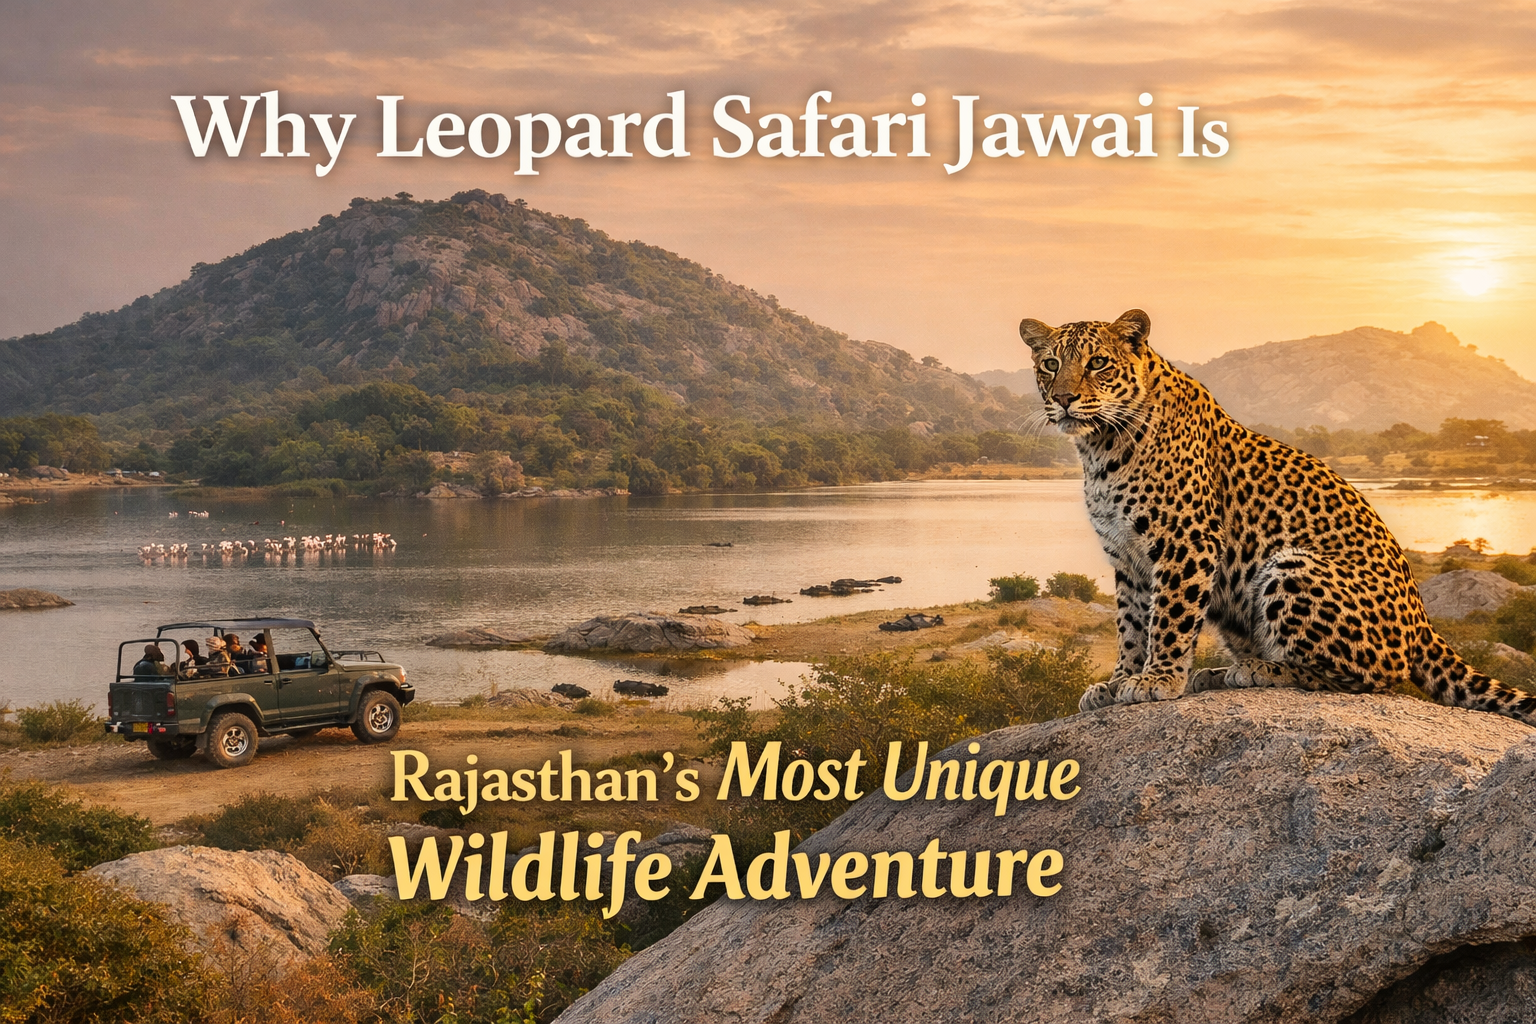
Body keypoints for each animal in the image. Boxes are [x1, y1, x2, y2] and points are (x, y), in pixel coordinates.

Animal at [1017, 308, 1536, 725]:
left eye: (1097, 363)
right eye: (1050, 365)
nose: (1063, 398)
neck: (1101, 446)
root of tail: (1424, 621)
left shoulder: (1185, 542)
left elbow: (1168, 617)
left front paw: (1157, 679)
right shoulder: (1126, 555)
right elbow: (1130, 625)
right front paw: (1116, 682)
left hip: (1290, 566)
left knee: (1364, 679)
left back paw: (1255, 670)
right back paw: (1220, 672)